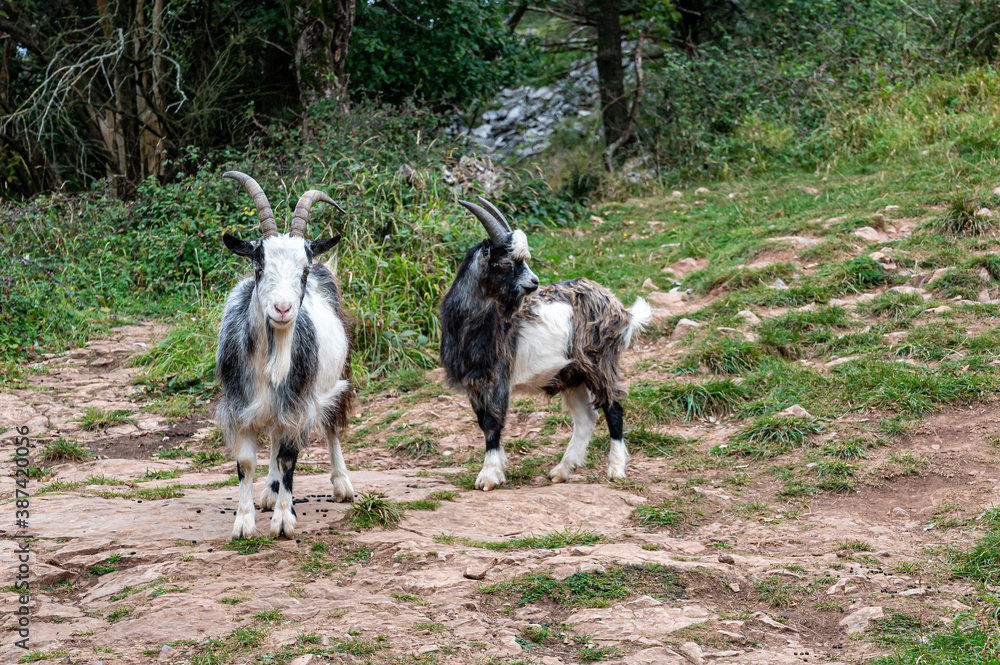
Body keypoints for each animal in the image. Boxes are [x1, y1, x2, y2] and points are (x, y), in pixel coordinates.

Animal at [215, 171, 354, 540]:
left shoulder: (299, 402)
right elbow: (247, 461)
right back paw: (269, 490)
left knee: (331, 426)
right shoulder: (239, 403)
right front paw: (244, 522)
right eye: (258, 264)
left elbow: (289, 457)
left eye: (302, 270)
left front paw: (283, 522)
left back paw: (341, 485)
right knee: (276, 437)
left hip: (334, 381)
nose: (282, 308)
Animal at [440, 198, 651, 490]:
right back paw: (562, 470)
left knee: (613, 407)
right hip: (572, 374)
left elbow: (493, 422)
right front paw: (499, 468)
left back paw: (615, 469)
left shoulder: (497, 377)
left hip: (599, 363)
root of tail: (621, 309)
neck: (470, 325)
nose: (534, 282)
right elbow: (483, 423)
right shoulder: (473, 383)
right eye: (505, 261)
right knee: (587, 419)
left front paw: (488, 475)